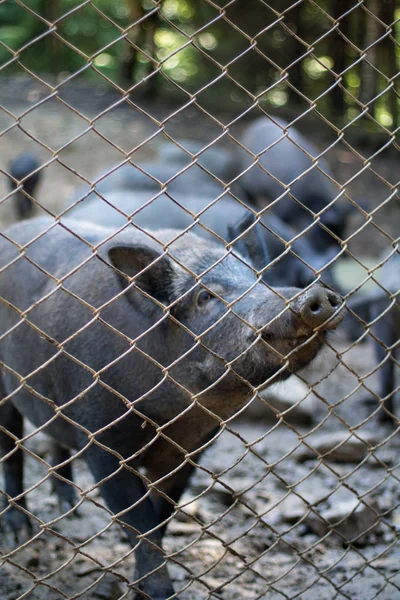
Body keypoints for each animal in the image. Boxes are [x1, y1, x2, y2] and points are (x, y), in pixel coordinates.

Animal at [0, 216, 344, 600]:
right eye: (204, 296)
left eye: (258, 279)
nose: (315, 294)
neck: (173, 417)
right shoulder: (101, 441)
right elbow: (141, 524)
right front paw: (158, 592)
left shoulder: (191, 449)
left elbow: (162, 514)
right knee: (11, 449)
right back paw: (18, 532)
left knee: (53, 438)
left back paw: (70, 508)